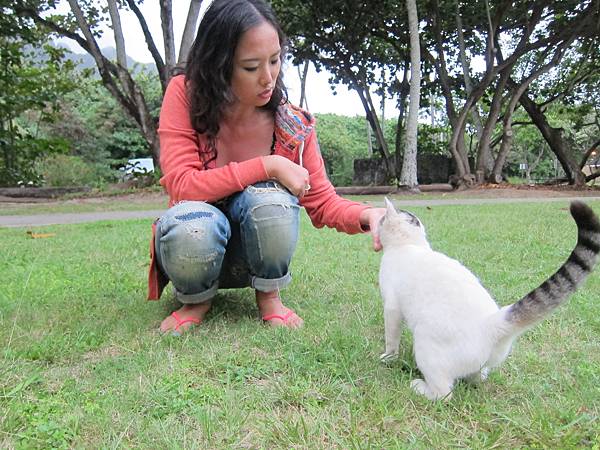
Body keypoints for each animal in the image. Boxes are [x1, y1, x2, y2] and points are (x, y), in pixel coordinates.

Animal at [378, 199, 596, 400]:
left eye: (381, 220)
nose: (377, 220)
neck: (410, 245)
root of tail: (494, 324)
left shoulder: (391, 308)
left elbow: (391, 337)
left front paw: (389, 357)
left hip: (425, 345)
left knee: (444, 394)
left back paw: (419, 387)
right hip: (478, 364)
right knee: (477, 377)